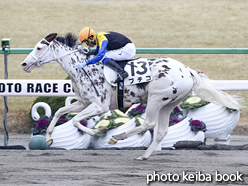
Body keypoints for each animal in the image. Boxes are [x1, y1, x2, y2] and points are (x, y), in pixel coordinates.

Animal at [21, 33, 242, 160]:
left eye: (39, 47)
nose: (24, 64)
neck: (84, 68)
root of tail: (188, 71)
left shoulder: (99, 106)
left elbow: (75, 120)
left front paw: (97, 132)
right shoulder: (84, 102)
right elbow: (60, 111)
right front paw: (49, 138)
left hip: (156, 98)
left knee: (149, 124)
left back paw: (117, 138)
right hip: (169, 103)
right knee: (161, 130)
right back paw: (144, 156)